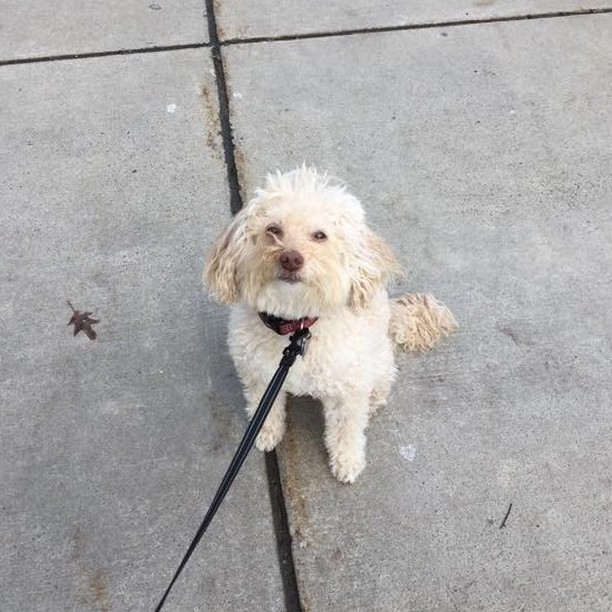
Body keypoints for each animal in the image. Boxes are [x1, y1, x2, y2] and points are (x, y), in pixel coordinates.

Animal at [204, 167, 454, 482]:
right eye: (273, 229)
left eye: (319, 235)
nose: (291, 258)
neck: (297, 327)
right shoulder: (258, 375)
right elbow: (265, 408)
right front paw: (265, 432)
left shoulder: (348, 391)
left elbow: (346, 430)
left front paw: (347, 461)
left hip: (378, 362)